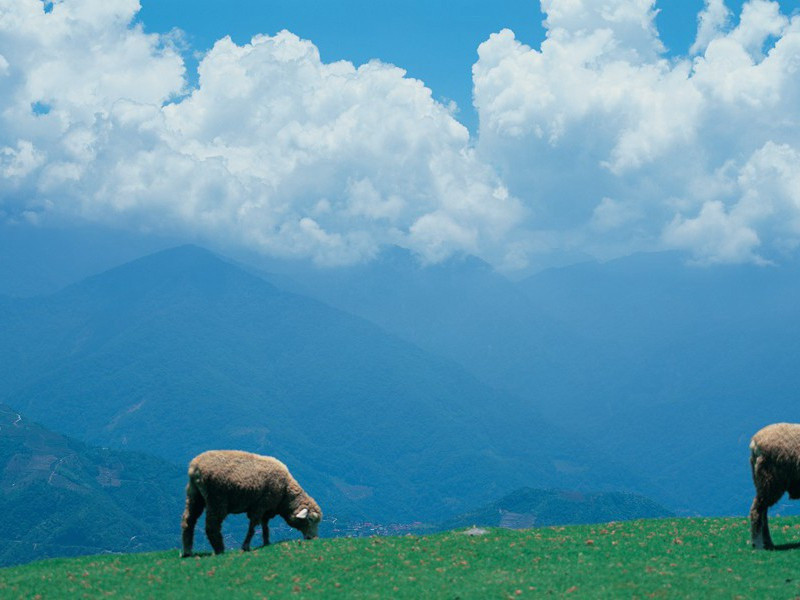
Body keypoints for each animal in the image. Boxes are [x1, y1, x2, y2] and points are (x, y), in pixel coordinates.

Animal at [180, 450, 320, 556]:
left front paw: (266, 542)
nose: (313, 538)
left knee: (188, 520)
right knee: (211, 525)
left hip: (194, 496)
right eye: (310, 519)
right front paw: (246, 546)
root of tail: (195, 466)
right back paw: (220, 550)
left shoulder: (266, 509)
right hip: (217, 499)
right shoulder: (260, 505)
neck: (285, 492)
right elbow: (253, 527)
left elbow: (265, 526)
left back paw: (187, 551)